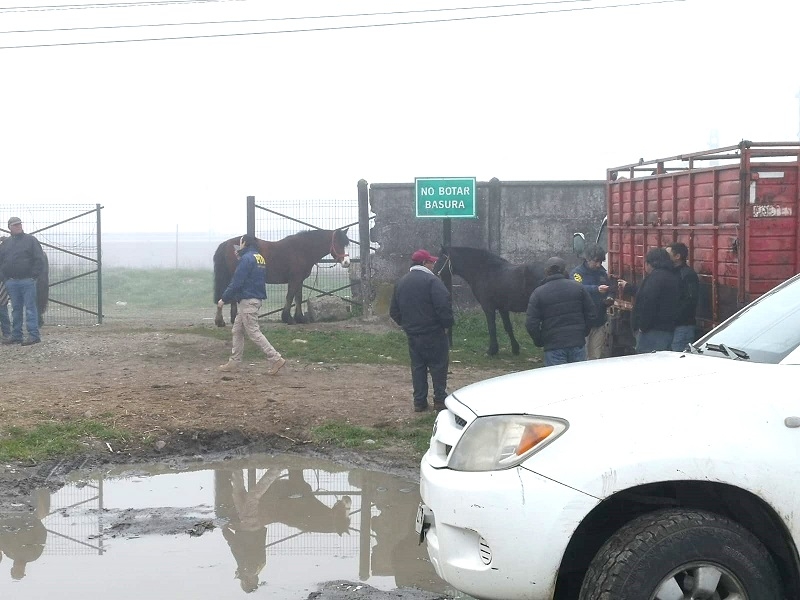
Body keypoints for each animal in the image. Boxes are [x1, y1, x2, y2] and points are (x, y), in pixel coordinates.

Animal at [212, 227, 350, 326]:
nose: (347, 262)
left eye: (347, 244)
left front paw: (300, 318)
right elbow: (290, 297)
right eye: (337, 243)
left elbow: (298, 298)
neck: (302, 249)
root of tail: (226, 243)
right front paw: (288, 318)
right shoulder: (294, 279)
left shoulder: (299, 280)